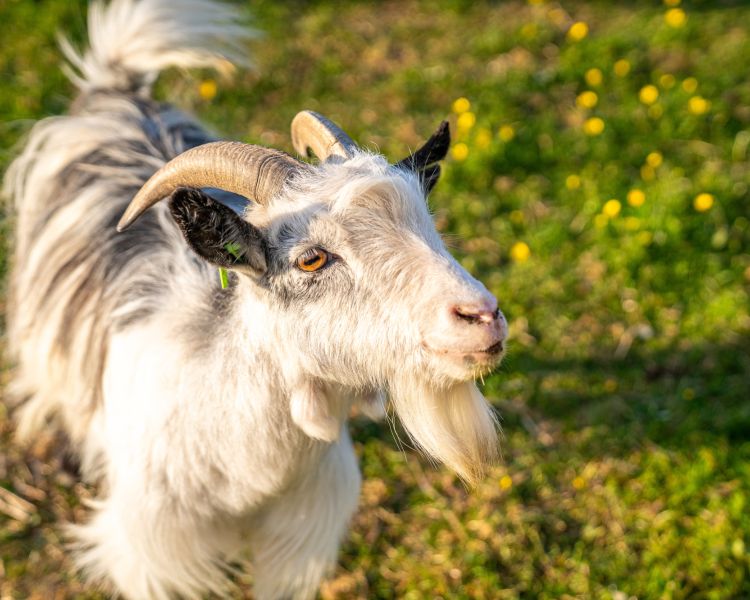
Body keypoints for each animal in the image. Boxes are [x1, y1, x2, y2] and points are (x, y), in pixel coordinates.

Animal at [4, 0, 507, 598]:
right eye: (311, 258)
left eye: (428, 222)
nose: (482, 317)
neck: (246, 473)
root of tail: (118, 89)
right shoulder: (155, 551)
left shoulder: (296, 542)